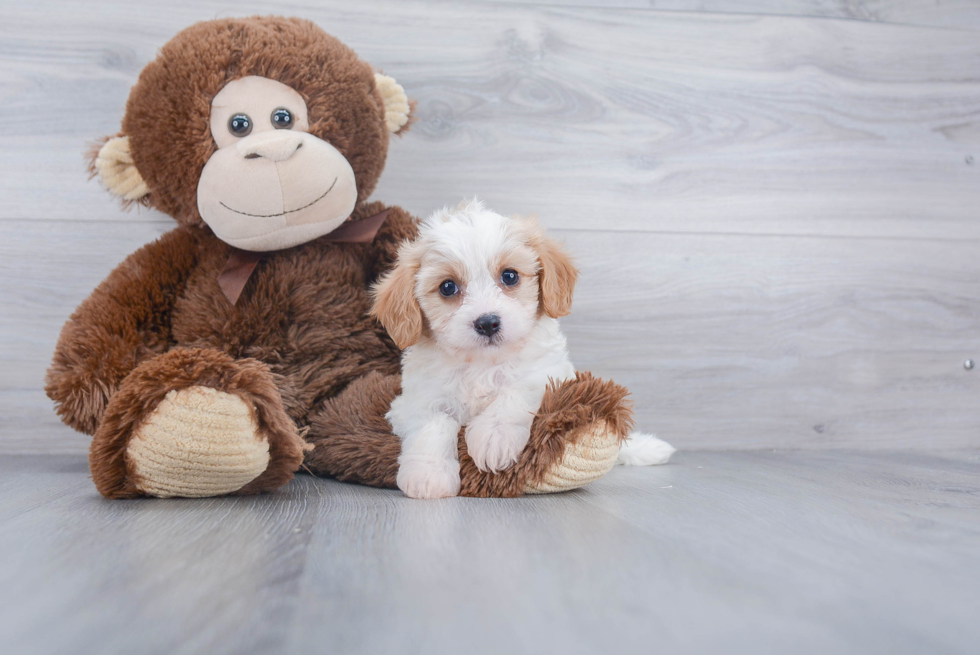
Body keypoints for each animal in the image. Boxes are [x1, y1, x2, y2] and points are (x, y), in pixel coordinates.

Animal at [372, 199, 580, 498]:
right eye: (448, 287)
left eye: (510, 276)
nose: (487, 322)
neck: (481, 363)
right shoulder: (413, 400)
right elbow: (434, 422)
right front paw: (428, 473)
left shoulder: (548, 373)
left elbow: (514, 393)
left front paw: (494, 437)